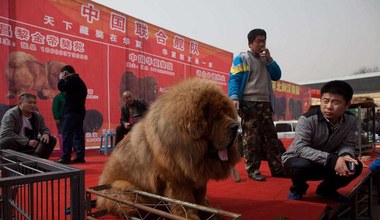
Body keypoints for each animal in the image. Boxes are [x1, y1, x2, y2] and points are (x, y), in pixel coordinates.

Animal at [98, 77, 240, 218]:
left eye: (228, 114)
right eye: (216, 117)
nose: (236, 126)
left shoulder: (198, 177)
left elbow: (200, 198)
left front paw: (209, 210)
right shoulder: (176, 180)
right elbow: (184, 201)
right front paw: (189, 216)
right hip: (127, 189)